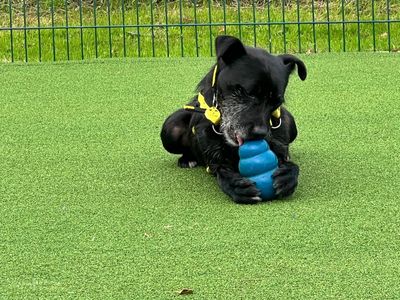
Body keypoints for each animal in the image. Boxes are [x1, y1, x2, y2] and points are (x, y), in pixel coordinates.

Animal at [159, 35, 306, 204]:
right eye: (248, 92)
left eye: (277, 102)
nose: (261, 133)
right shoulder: (215, 162)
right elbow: (222, 172)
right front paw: (235, 186)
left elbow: (291, 164)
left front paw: (289, 175)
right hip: (170, 128)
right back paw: (187, 159)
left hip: (290, 122)